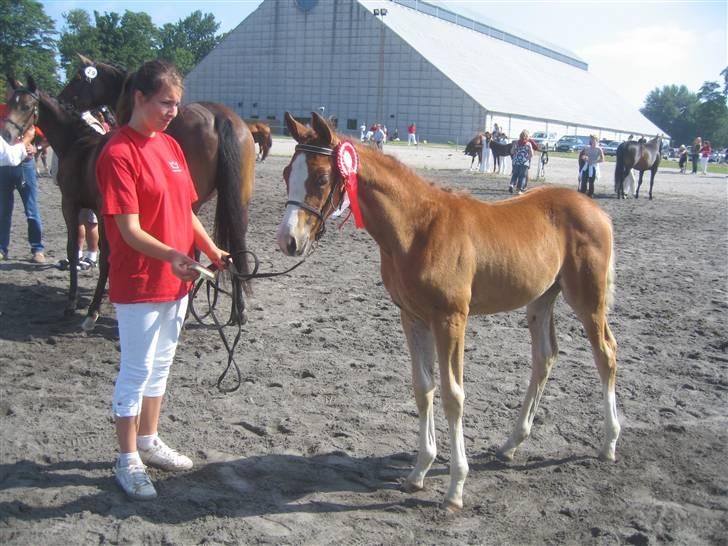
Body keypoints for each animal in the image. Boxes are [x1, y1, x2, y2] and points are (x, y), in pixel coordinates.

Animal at [276, 111, 616, 510]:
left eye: (321, 177)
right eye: (287, 172)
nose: (288, 241)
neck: (417, 228)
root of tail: (596, 210)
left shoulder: (451, 318)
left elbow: (454, 395)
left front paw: (455, 488)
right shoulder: (413, 317)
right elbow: (423, 387)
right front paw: (419, 471)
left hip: (587, 299)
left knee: (606, 354)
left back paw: (609, 443)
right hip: (542, 299)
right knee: (545, 357)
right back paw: (511, 445)